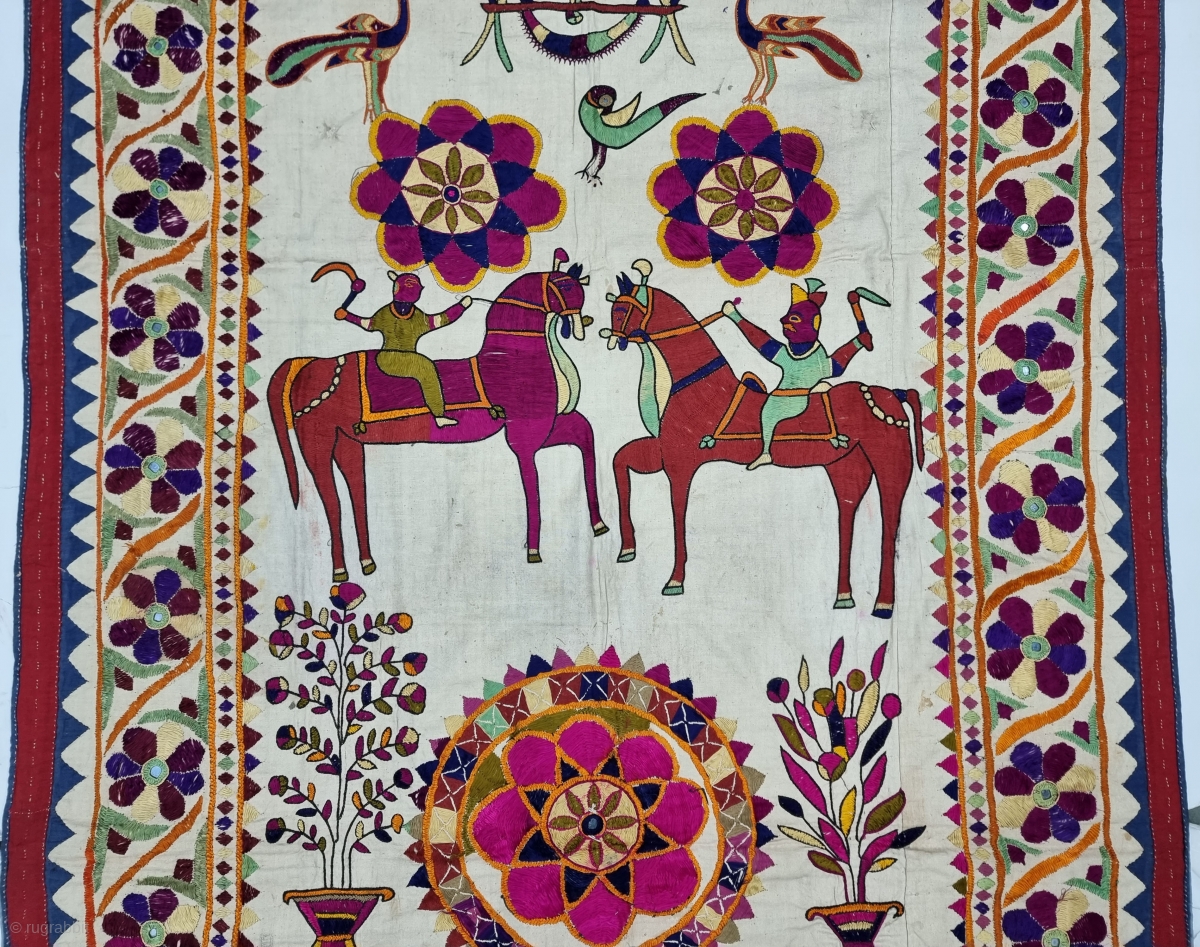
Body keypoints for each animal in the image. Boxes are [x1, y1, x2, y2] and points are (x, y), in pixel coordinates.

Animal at [268, 252, 606, 582]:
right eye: (565, 286)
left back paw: (366, 563)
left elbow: (586, 436)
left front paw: (599, 525)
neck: (507, 361)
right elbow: (533, 494)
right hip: (318, 440)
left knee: (356, 494)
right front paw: (534, 551)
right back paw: (340, 572)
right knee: (333, 504)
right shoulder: (523, 439)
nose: (584, 322)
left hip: (347, 440)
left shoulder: (544, 428)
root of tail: (307, 364)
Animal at [600, 261, 923, 615]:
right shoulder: (661, 452)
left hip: (891, 459)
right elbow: (619, 460)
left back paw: (883, 603)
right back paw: (844, 596)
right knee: (847, 513)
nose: (611, 339)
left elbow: (677, 514)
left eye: (622, 311)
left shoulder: (679, 461)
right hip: (847, 465)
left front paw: (674, 580)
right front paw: (627, 549)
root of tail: (893, 393)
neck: (700, 385)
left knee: (890, 519)